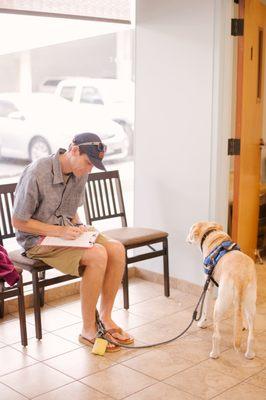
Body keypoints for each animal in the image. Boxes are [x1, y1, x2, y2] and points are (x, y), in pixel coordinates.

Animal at [186, 222, 256, 360]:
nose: (186, 239)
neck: (212, 235)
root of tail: (240, 275)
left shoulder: (208, 285)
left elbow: (205, 309)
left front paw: (202, 323)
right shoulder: (238, 301)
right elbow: (240, 313)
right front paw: (242, 325)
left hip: (219, 304)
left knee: (216, 335)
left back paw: (214, 353)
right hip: (251, 304)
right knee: (251, 336)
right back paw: (250, 354)